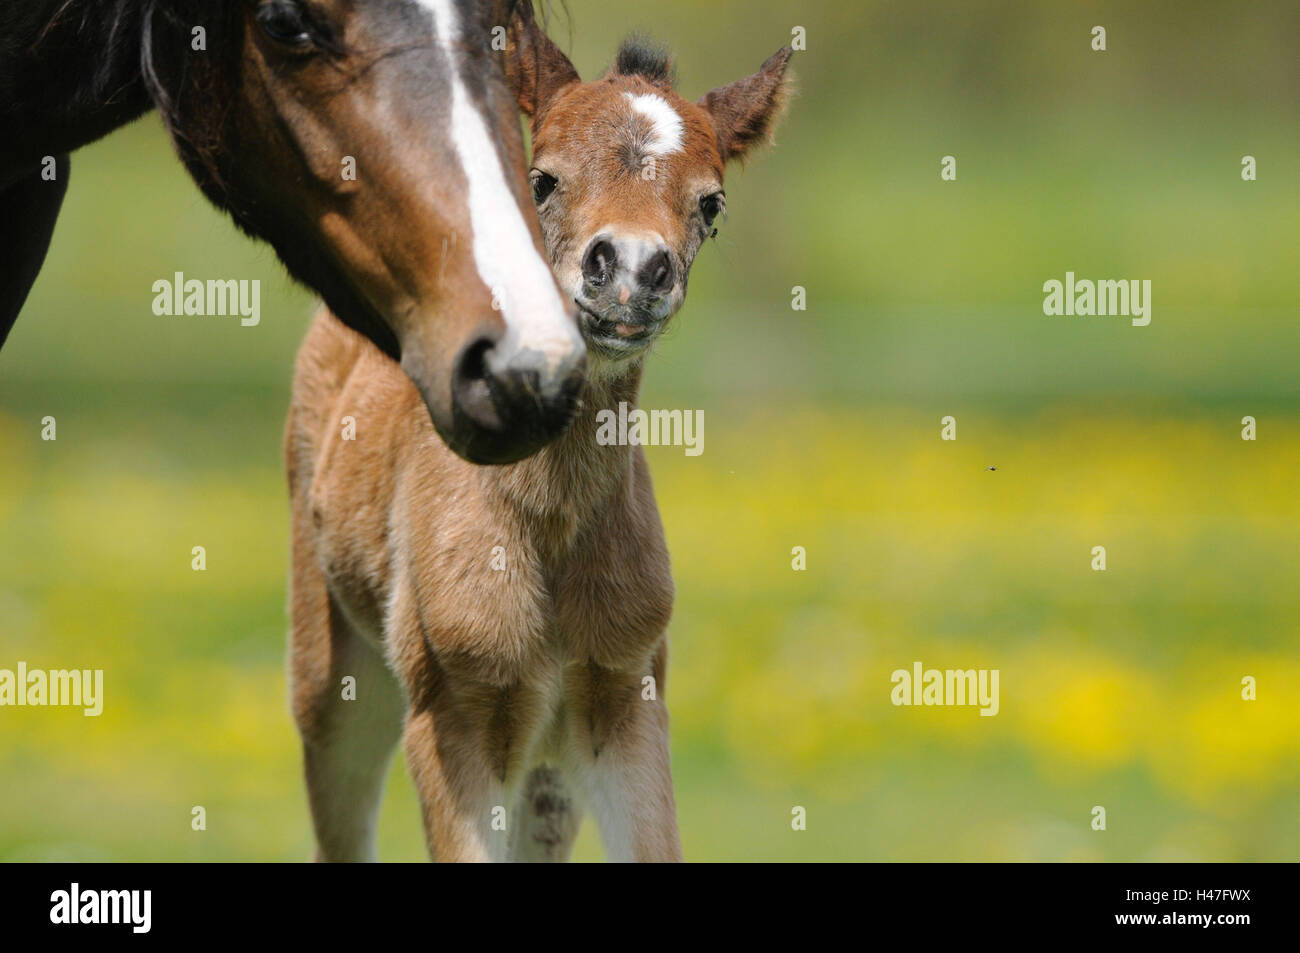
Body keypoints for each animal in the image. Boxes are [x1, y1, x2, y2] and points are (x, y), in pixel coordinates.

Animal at [286, 7, 790, 858]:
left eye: (712, 204)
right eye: (545, 178)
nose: (629, 271)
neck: (544, 530)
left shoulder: (626, 696)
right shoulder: (451, 714)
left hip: (545, 774)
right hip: (331, 676)